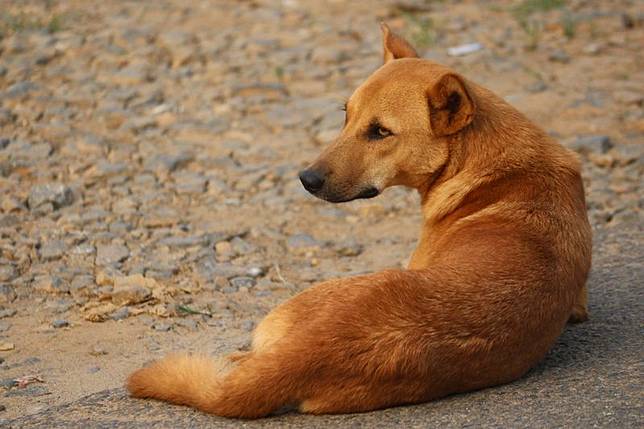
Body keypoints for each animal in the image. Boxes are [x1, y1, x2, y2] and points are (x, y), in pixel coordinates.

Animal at [127, 24, 592, 418]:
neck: (494, 168)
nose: (307, 179)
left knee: (244, 358)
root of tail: (308, 353)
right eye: (345, 115)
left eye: (381, 132)